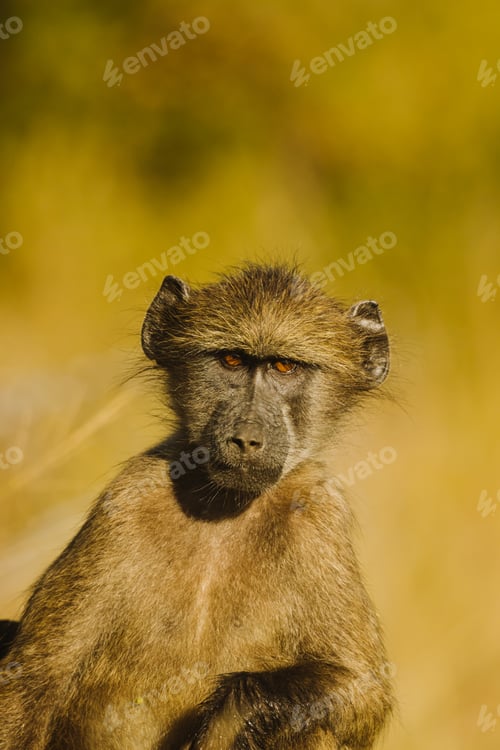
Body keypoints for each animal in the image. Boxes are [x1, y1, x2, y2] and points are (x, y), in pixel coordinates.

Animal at [0, 263, 394, 749]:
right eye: (232, 361)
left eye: (285, 366)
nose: (246, 439)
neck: (222, 509)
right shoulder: (126, 500)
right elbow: (33, 680)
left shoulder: (320, 512)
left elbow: (364, 689)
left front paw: (237, 712)